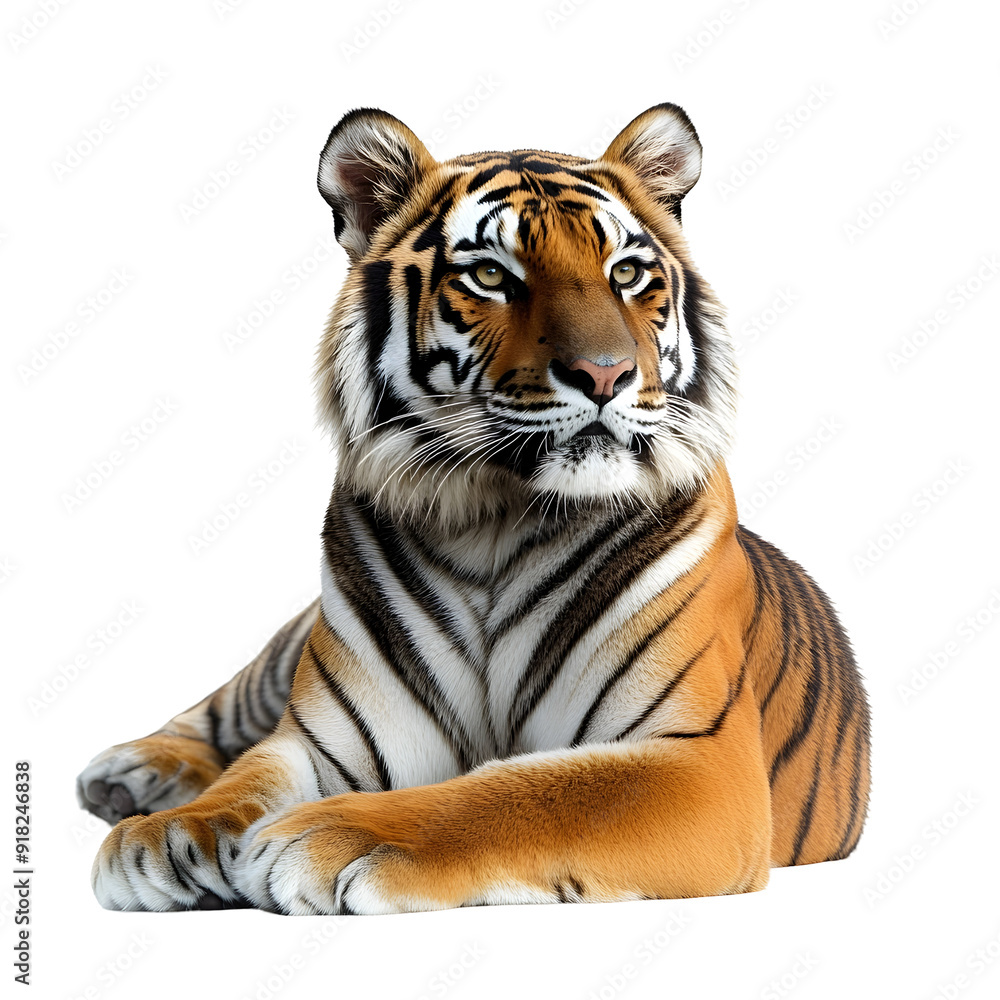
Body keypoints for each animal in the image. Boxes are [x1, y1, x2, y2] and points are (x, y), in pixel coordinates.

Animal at [78, 103, 871, 914]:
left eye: (626, 273)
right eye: (491, 275)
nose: (606, 374)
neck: (492, 521)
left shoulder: (700, 759)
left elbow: (524, 788)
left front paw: (332, 833)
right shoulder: (322, 737)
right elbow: (250, 773)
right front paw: (170, 833)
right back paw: (130, 779)